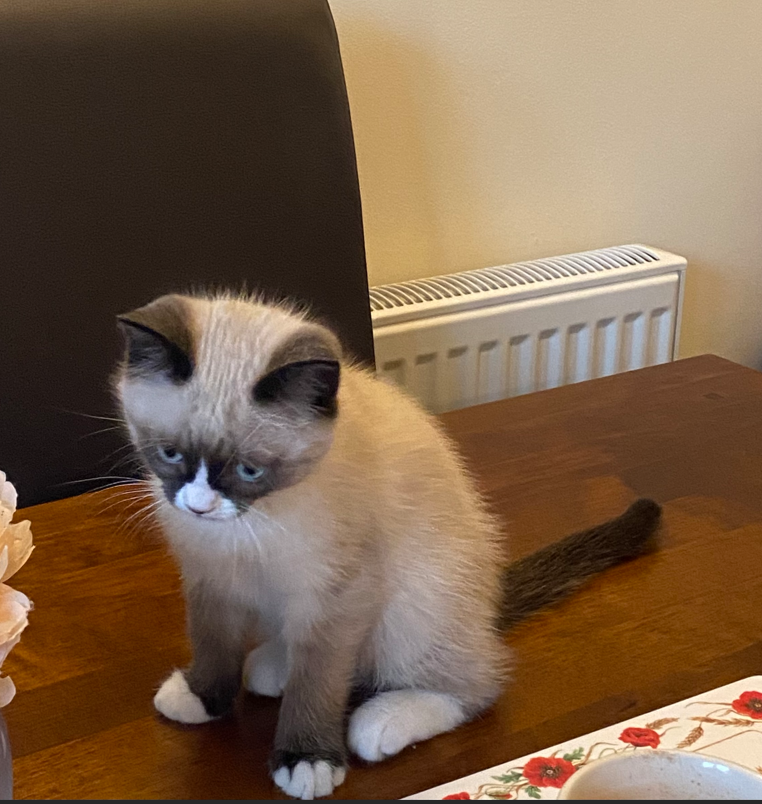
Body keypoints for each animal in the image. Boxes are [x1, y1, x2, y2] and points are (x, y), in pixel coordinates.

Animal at [113, 294, 660, 796]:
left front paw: (307, 761)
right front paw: (202, 697)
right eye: (169, 453)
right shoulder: (210, 577)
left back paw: (381, 719)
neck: (249, 525)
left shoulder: (337, 596)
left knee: (475, 683)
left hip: (413, 607)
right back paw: (275, 665)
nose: (199, 506)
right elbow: (213, 643)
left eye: (250, 470)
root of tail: (486, 609)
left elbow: (319, 682)